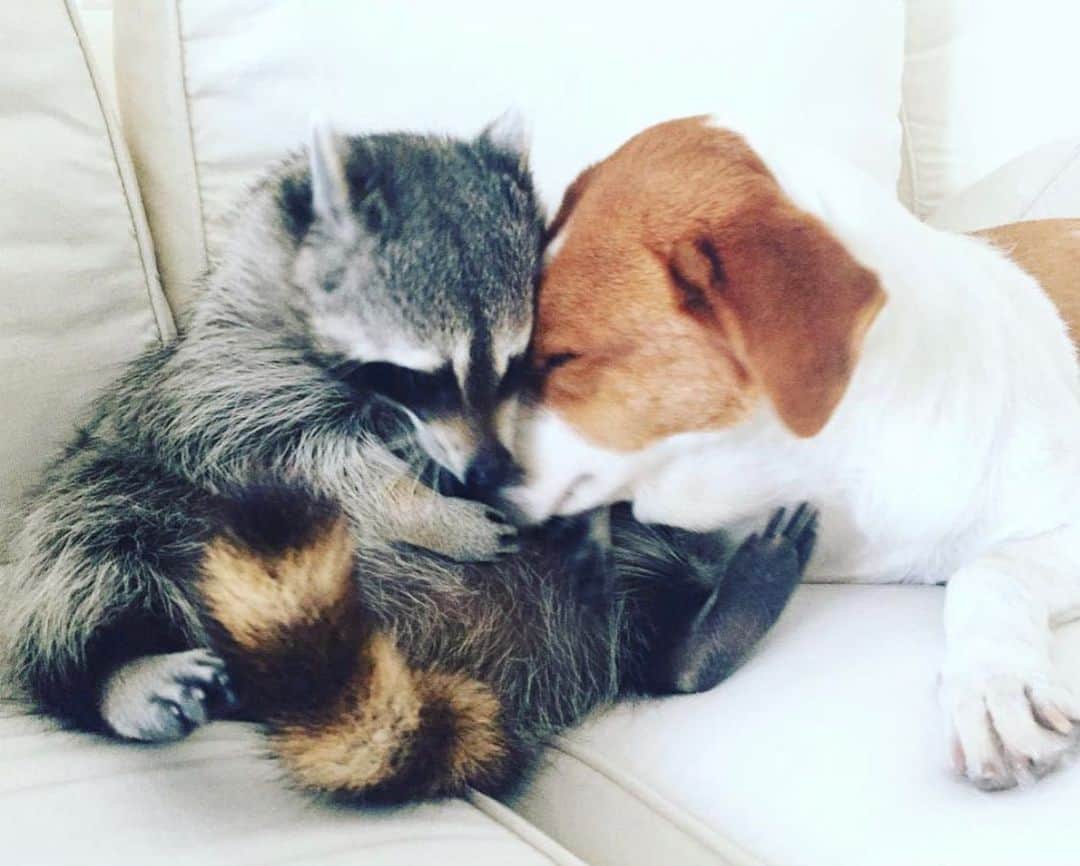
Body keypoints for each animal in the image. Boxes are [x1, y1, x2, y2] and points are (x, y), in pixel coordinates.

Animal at [0, 118, 815, 802]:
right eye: (423, 376)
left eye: (519, 363)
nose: (486, 474)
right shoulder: (225, 378)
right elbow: (290, 452)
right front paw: (423, 512)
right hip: (125, 501)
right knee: (85, 547)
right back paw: (117, 670)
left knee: (648, 573)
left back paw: (697, 636)